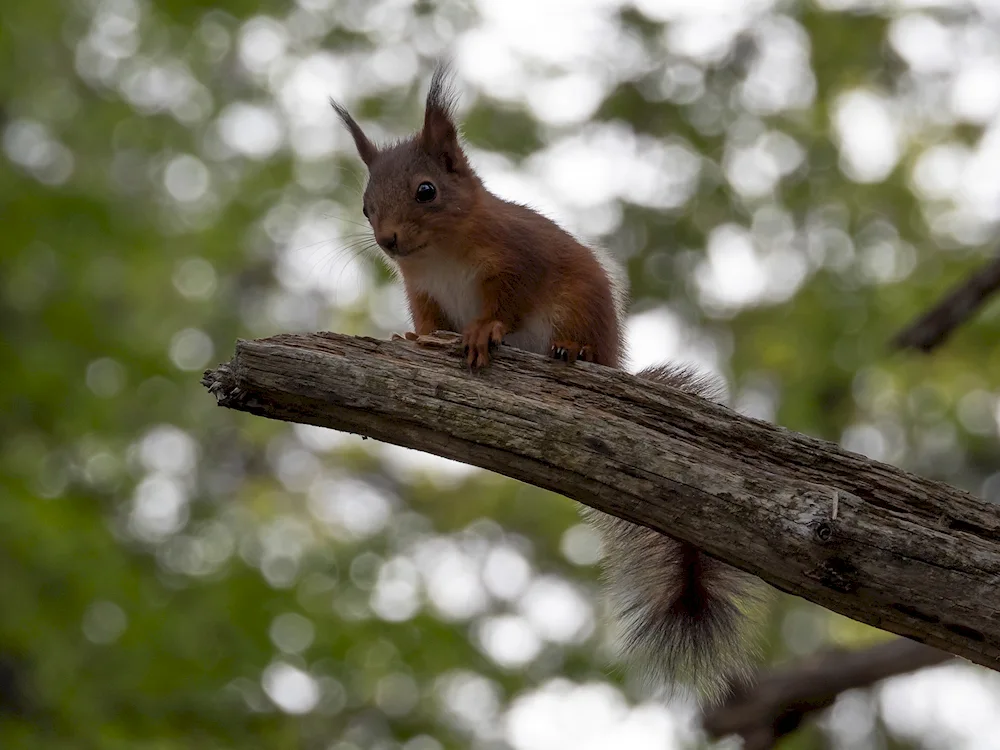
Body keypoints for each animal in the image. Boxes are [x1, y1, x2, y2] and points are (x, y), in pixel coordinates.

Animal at [334, 64, 764, 704]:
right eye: (365, 207)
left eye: (426, 191)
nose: (387, 240)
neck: (440, 254)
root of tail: (611, 358)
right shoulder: (424, 293)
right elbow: (428, 323)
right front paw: (414, 341)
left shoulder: (516, 262)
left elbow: (504, 305)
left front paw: (484, 333)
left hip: (573, 308)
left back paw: (571, 351)